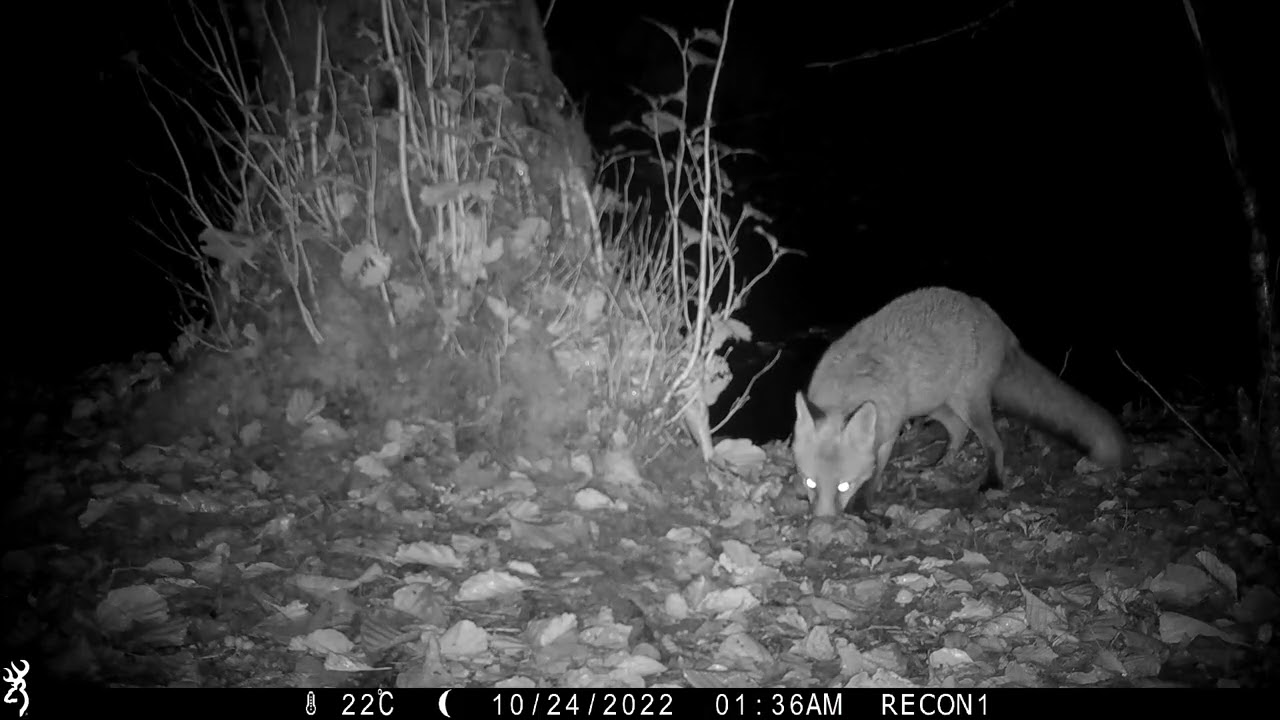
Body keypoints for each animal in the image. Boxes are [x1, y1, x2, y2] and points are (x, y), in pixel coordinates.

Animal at [792, 286, 1129, 518]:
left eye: (843, 486)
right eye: (810, 483)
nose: (823, 522)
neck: (848, 389)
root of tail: (991, 314)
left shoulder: (886, 435)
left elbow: (873, 477)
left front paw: (863, 507)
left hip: (970, 404)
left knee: (994, 443)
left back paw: (992, 482)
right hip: (936, 404)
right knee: (958, 430)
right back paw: (941, 463)